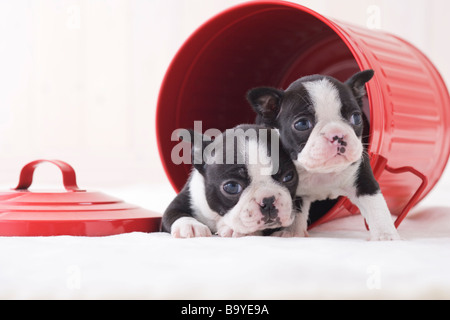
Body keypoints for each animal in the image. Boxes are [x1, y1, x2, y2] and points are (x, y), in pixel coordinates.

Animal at [160, 124, 308, 238]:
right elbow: (173, 213)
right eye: (231, 186)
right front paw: (190, 225)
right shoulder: (187, 197)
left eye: (288, 177)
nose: (268, 200)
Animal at [250, 70, 400, 240]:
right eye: (302, 124)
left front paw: (385, 236)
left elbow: (376, 206)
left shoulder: (363, 179)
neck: (323, 172)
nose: (337, 135)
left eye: (356, 117)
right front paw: (292, 233)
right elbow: (296, 210)